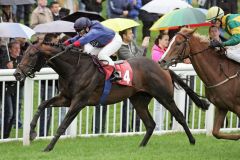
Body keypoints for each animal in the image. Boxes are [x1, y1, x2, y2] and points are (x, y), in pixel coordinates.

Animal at [13, 42, 208, 151]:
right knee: (151, 124)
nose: (17, 74)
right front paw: (32, 132)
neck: (74, 69)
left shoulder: (79, 102)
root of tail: (163, 67)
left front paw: (48, 147)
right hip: (138, 100)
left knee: (179, 116)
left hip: (164, 96)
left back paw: (192, 141)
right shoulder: (66, 98)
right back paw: (141, 146)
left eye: (31, 54)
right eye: (23, 54)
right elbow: (43, 104)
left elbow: (63, 126)